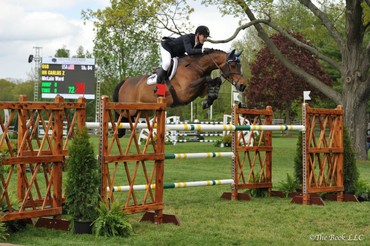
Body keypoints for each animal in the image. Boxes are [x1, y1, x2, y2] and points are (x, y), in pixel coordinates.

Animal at [112, 49, 246, 137]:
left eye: (240, 66)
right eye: (232, 65)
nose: (242, 85)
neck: (196, 66)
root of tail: (125, 81)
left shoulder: (200, 91)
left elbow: (214, 81)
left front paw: (208, 100)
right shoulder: (185, 92)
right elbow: (208, 79)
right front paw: (208, 100)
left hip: (142, 110)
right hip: (129, 109)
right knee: (120, 114)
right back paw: (118, 131)